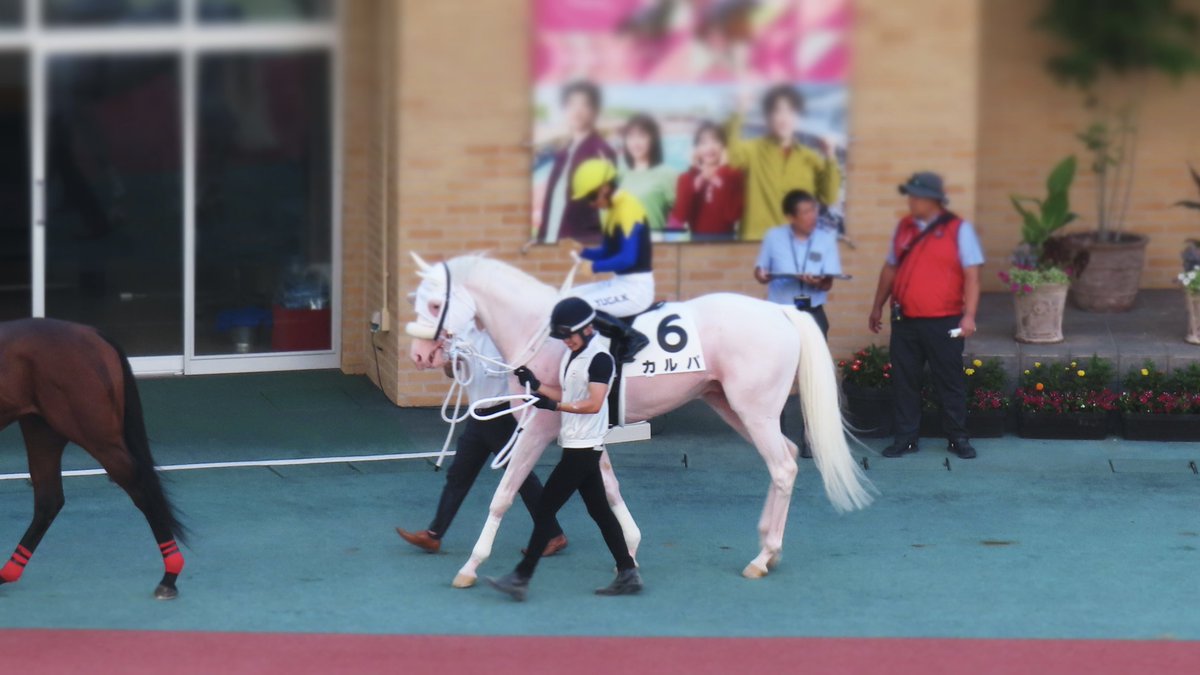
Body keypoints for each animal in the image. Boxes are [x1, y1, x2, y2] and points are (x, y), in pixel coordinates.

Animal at [0, 318, 186, 600]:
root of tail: (91, 333)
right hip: (42, 430)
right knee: (48, 501)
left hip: (94, 434)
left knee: (141, 487)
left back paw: (169, 576)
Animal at [406, 253, 874, 588]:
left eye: (435, 303)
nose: (419, 355)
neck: (542, 332)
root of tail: (781, 312)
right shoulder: (584, 430)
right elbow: (608, 488)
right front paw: (628, 547)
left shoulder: (540, 426)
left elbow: (504, 494)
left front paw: (471, 566)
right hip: (732, 406)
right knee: (788, 456)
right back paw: (769, 549)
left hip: (753, 411)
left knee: (782, 467)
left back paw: (762, 557)